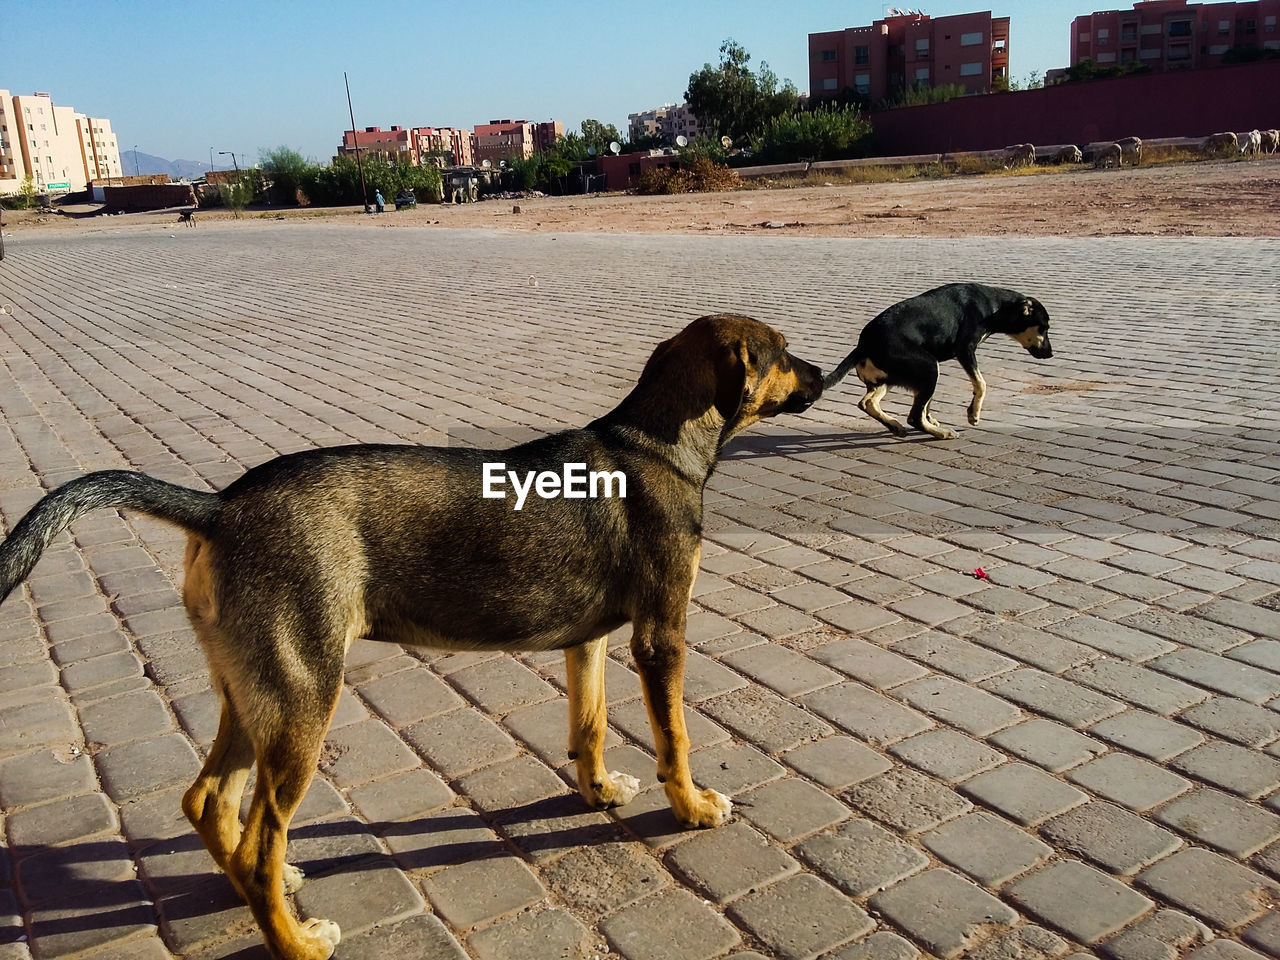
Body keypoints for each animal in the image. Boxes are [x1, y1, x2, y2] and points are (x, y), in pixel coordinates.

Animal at [0, 316, 819, 960]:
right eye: (781, 351)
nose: (821, 372)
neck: (654, 443)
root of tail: (220, 506)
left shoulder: (587, 642)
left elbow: (587, 727)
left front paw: (596, 791)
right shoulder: (661, 636)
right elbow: (675, 737)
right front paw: (692, 808)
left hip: (253, 692)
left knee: (210, 802)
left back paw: (262, 890)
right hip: (302, 701)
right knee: (261, 835)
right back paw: (294, 940)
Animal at [824, 281, 1054, 440]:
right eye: (1043, 328)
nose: (1051, 354)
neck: (995, 306)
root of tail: (864, 345)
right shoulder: (965, 350)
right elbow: (981, 384)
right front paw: (973, 414)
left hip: (891, 379)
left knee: (868, 402)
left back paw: (897, 425)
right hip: (929, 368)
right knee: (914, 416)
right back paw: (942, 433)